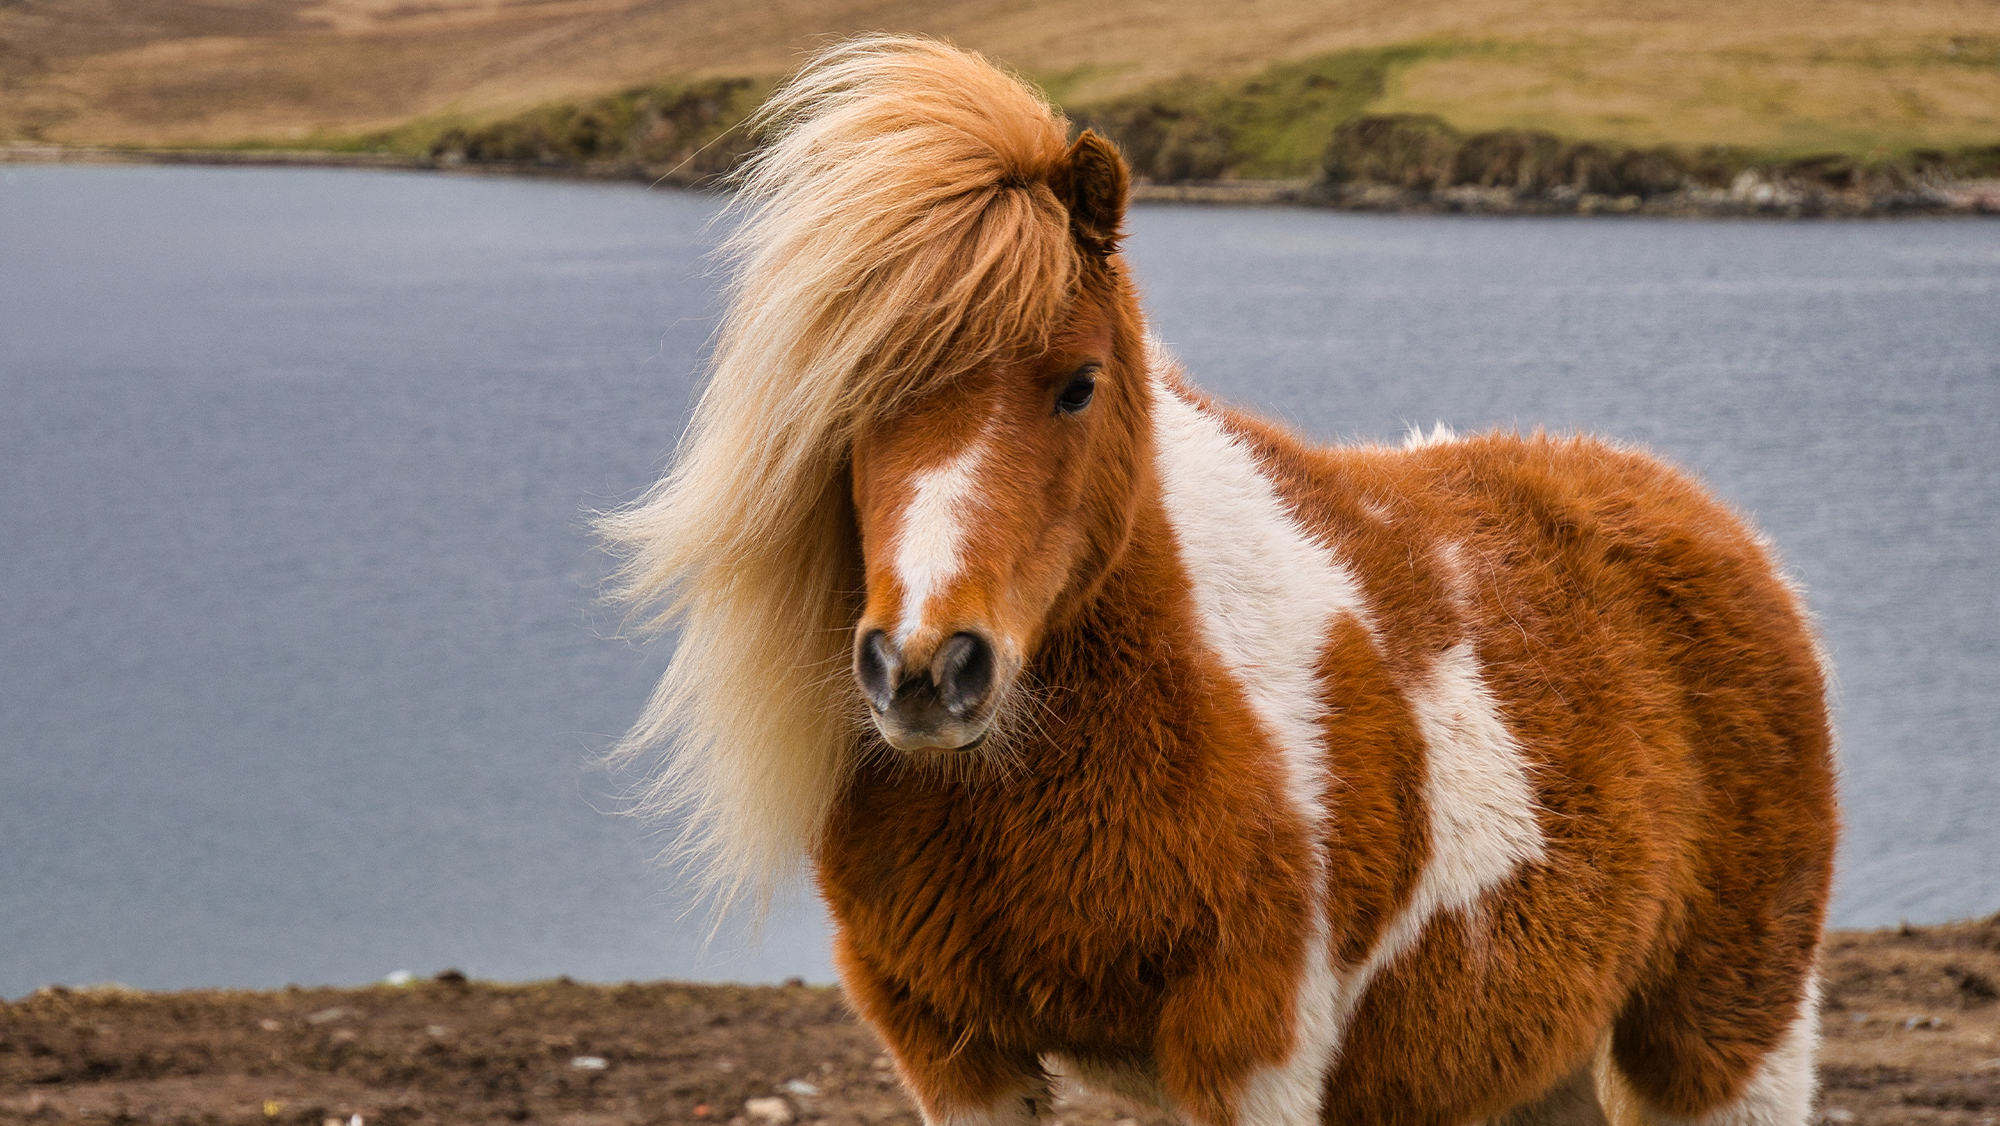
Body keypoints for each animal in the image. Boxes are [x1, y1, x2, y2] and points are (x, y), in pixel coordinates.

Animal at [601, 35, 1838, 1126]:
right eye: (853, 392)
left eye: (1077, 384)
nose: (924, 670)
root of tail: (1711, 527)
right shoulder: (952, 1050)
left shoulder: (1248, 1053)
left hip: (1724, 1042)